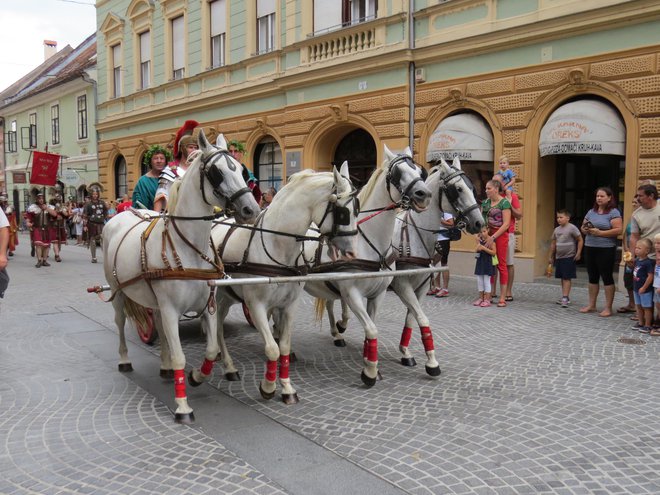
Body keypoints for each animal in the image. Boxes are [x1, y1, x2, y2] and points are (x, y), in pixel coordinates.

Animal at [102, 131, 260, 422]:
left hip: (155, 301)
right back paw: (125, 360)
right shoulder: (171, 308)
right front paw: (183, 406)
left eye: (241, 170)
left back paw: (163, 366)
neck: (189, 247)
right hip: (118, 292)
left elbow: (211, 349)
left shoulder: (207, 306)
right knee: (120, 322)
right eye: (217, 173)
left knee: (159, 326)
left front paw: (197, 376)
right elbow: (180, 357)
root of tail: (124, 213)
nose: (251, 210)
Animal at [210, 165, 356, 404]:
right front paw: (268, 387)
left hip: (227, 296)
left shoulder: (289, 305)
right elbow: (272, 348)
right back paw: (226, 365)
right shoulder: (256, 305)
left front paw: (287, 387)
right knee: (216, 327)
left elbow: (284, 347)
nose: (352, 252)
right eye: (343, 212)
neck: (277, 245)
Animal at [306, 145, 434, 390]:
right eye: (397, 174)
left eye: (418, 171)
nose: (424, 194)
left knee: (328, 303)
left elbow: (371, 327)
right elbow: (371, 327)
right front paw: (369, 373)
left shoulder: (378, 294)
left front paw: (369, 361)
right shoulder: (352, 293)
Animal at [390, 159, 482, 372]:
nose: (479, 223)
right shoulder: (402, 284)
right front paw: (432, 362)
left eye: (472, 188)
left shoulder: (422, 286)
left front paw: (407, 353)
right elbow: (422, 318)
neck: (415, 235)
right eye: (458, 189)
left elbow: (412, 318)